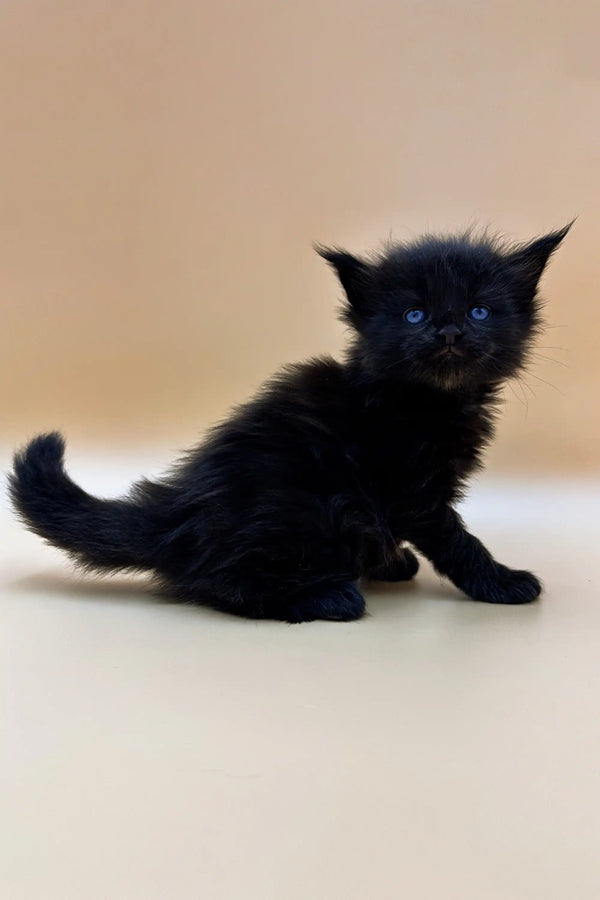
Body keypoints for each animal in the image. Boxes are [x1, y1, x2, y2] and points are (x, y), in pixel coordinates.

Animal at [10, 225, 572, 620]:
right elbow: (459, 543)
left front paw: (392, 562)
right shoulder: (414, 490)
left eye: (479, 312)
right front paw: (502, 582)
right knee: (215, 581)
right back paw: (327, 598)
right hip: (306, 505)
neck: (430, 401)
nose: (450, 331)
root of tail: (176, 514)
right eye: (414, 315)